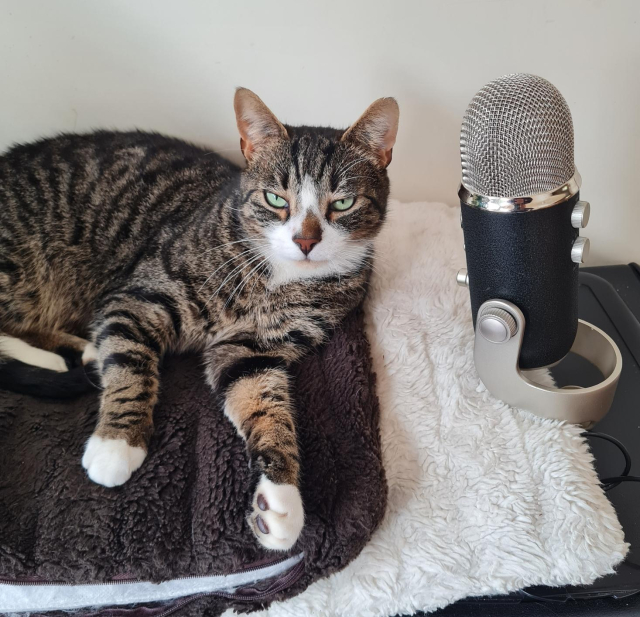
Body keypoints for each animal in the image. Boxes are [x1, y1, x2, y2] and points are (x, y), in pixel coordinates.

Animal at [0, 90, 400, 548]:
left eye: (344, 203)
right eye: (276, 199)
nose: (305, 240)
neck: (275, 281)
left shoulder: (252, 352)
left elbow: (266, 405)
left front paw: (281, 497)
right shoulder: (138, 298)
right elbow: (131, 366)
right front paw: (117, 443)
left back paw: (80, 351)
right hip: (19, 266)